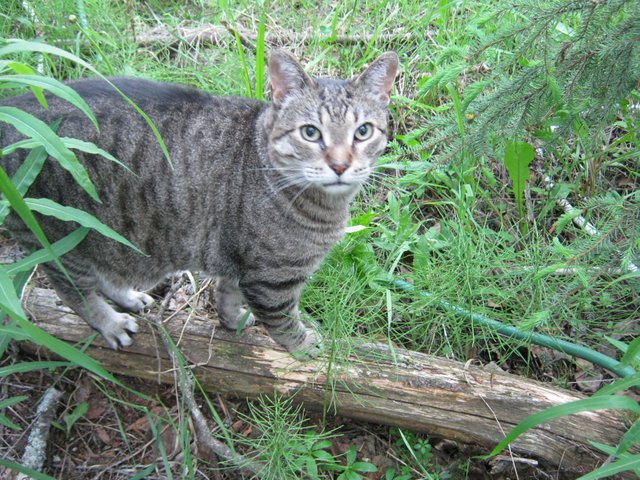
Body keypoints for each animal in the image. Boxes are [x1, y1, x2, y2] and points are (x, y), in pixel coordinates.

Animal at [0, 48, 398, 358]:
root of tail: (12, 107)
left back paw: (128, 297)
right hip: (60, 238)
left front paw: (233, 320)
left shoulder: (241, 259)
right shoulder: (271, 279)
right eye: (311, 133)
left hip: (109, 240)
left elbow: (229, 294)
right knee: (74, 291)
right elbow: (283, 321)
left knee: (106, 273)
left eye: (363, 131)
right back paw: (110, 323)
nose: (340, 165)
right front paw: (305, 346)